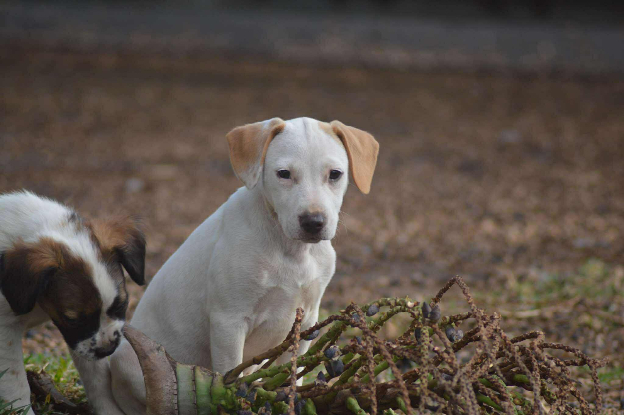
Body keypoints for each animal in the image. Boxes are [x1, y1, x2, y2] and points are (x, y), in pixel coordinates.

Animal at [0, 191, 146, 415]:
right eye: (73, 320)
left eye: (121, 305)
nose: (107, 350)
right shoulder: (5, 330)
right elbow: (15, 381)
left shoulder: (83, 343)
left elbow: (97, 379)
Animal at [108, 117, 379, 415]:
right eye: (284, 174)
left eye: (335, 174)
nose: (313, 222)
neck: (291, 251)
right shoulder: (229, 322)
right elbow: (229, 376)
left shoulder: (306, 322)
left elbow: (292, 377)